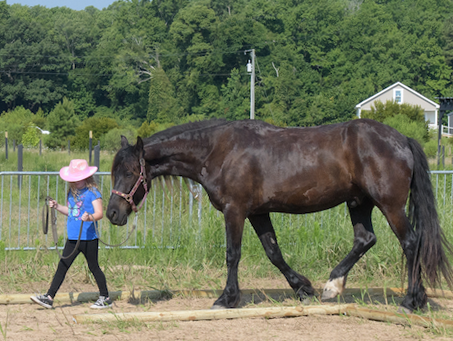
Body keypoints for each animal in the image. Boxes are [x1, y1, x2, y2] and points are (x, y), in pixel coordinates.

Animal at [105, 118, 452, 312]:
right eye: (113, 171)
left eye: (130, 173)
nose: (112, 213)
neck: (218, 151)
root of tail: (402, 139)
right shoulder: (258, 213)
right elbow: (274, 252)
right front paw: (303, 288)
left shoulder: (235, 211)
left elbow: (233, 254)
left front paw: (227, 298)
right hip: (359, 203)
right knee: (365, 239)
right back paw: (332, 286)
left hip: (389, 205)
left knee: (411, 244)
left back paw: (412, 301)